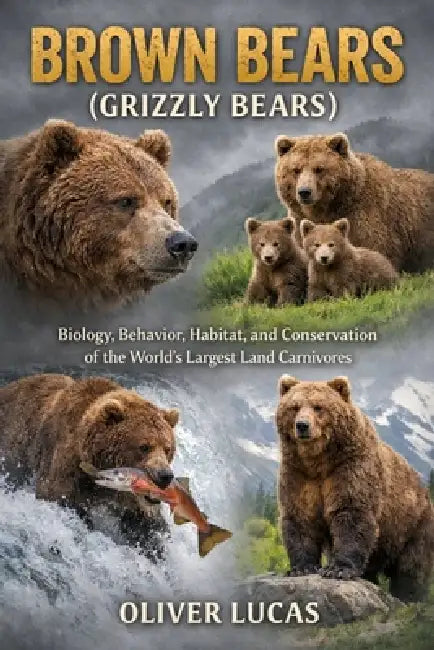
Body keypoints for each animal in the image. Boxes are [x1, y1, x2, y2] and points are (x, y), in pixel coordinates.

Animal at [0, 373, 180, 554]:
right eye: (144, 446)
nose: (164, 475)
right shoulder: (67, 469)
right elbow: (59, 497)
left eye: (167, 448)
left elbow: (145, 526)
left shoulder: (130, 497)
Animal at [276, 375, 434, 602]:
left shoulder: (350, 467)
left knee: (412, 567)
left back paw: (409, 597)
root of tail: (423, 489)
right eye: (294, 407)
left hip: (412, 524)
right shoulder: (298, 474)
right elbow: (300, 518)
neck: (318, 462)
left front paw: (337, 570)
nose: (302, 425)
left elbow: (351, 513)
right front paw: (302, 568)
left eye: (318, 406)